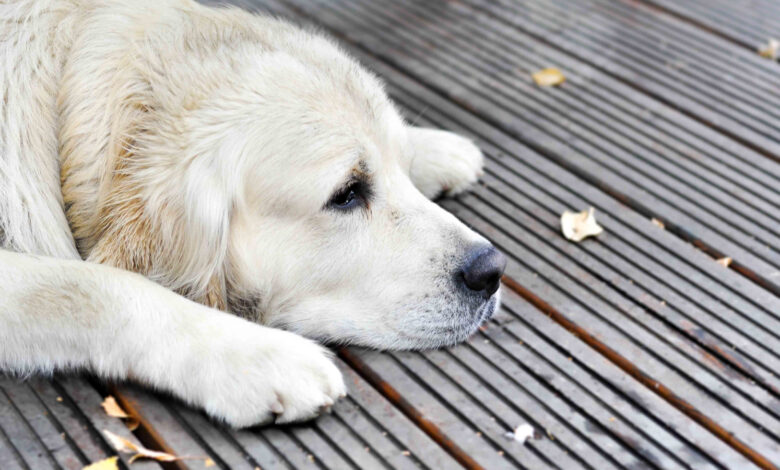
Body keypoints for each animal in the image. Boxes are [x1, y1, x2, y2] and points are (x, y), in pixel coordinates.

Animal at [0, 0, 508, 426]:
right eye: (346, 194)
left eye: (398, 165)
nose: (491, 270)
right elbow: (89, 287)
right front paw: (256, 357)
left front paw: (432, 149)